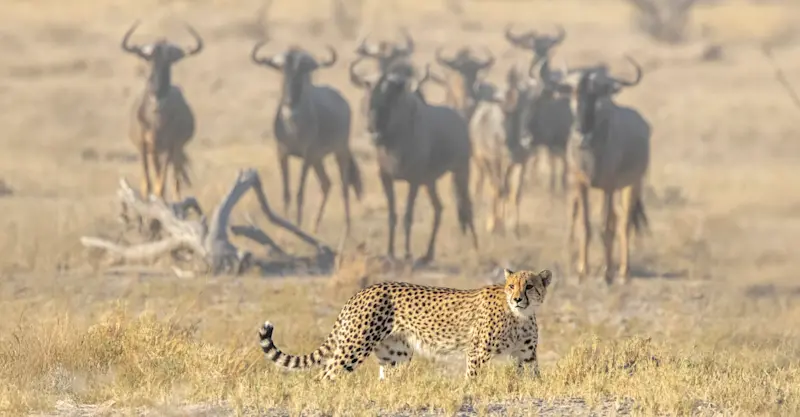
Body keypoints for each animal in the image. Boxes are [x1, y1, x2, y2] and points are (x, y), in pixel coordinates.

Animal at [257, 268, 552, 380]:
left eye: (529, 286)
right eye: (511, 285)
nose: (517, 298)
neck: (520, 316)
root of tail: (363, 290)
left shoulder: (525, 356)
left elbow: (533, 378)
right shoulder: (477, 353)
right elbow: (473, 379)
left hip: (395, 354)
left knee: (386, 379)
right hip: (355, 347)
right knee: (326, 374)